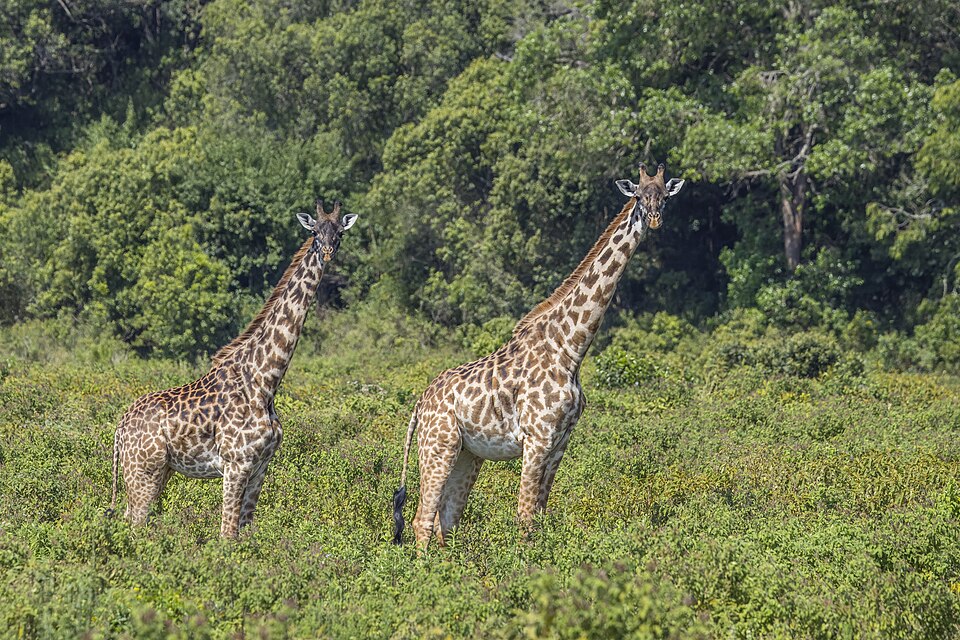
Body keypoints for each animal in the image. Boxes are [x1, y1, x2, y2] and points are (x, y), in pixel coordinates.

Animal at [110, 199, 358, 538]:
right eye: (315, 232)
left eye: (339, 233)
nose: (328, 253)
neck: (264, 382)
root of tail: (120, 427)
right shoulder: (236, 464)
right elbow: (227, 535)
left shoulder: (260, 467)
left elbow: (245, 533)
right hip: (142, 470)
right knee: (134, 523)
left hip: (158, 471)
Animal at [392, 163, 684, 547]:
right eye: (638, 195)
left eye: (664, 196)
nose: (654, 219)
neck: (570, 349)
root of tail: (419, 404)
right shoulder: (537, 438)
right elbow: (525, 517)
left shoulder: (560, 441)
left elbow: (540, 516)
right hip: (437, 446)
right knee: (422, 521)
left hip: (467, 453)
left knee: (447, 521)